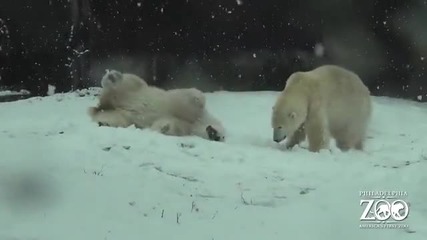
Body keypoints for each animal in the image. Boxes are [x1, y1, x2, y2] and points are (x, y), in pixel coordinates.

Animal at [88, 69, 227, 142]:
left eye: (221, 138)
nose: (213, 132)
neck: (197, 122)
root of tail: (104, 104)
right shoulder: (188, 109)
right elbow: (189, 98)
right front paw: (197, 98)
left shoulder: (185, 126)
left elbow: (169, 124)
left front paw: (164, 127)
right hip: (135, 88)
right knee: (129, 81)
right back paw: (112, 77)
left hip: (118, 113)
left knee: (114, 117)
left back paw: (104, 121)